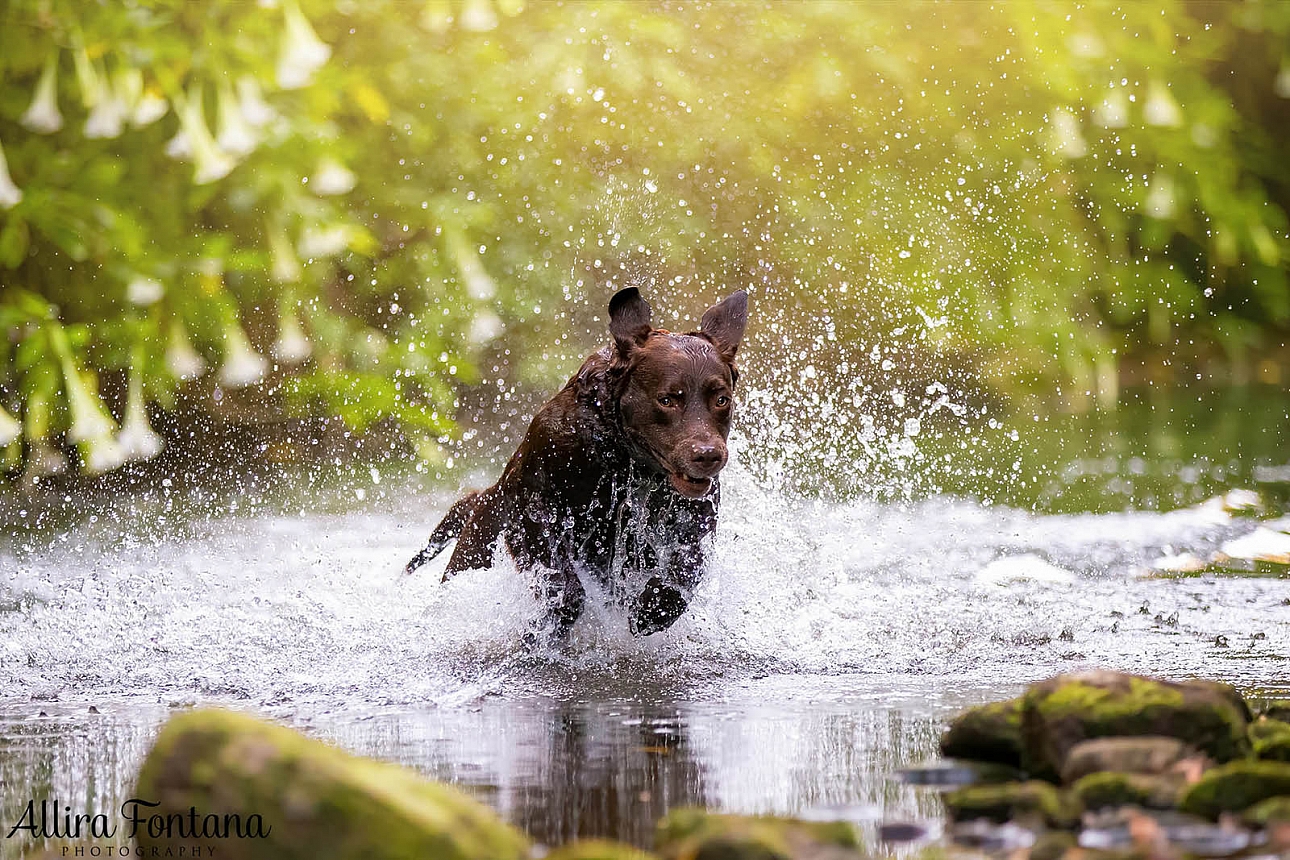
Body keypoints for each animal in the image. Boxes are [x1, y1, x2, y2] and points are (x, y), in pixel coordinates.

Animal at [402, 288, 748, 639]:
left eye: (721, 400)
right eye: (667, 399)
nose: (707, 455)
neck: (623, 457)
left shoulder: (697, 513)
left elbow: (688, 566)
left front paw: (653, 607)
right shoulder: (534, 505)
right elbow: (563, 584)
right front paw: (548, 624)